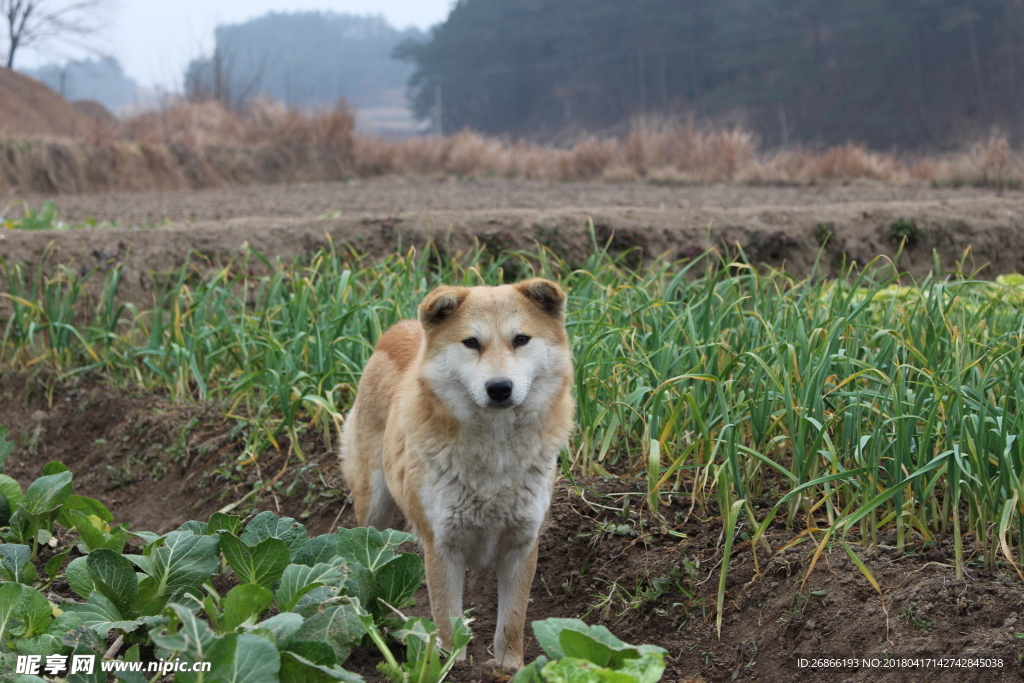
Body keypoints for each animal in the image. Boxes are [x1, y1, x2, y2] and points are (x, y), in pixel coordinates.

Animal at [337, 280, 573, 671]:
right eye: (471, 342)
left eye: (521, 339)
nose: (499, 388)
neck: (495, 455)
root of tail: (398, 329)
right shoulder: (442, 546)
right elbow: (447, 623)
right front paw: (449, 667)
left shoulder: (522, 544)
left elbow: (512, 622)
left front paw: (509, 669)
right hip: (373, 508)